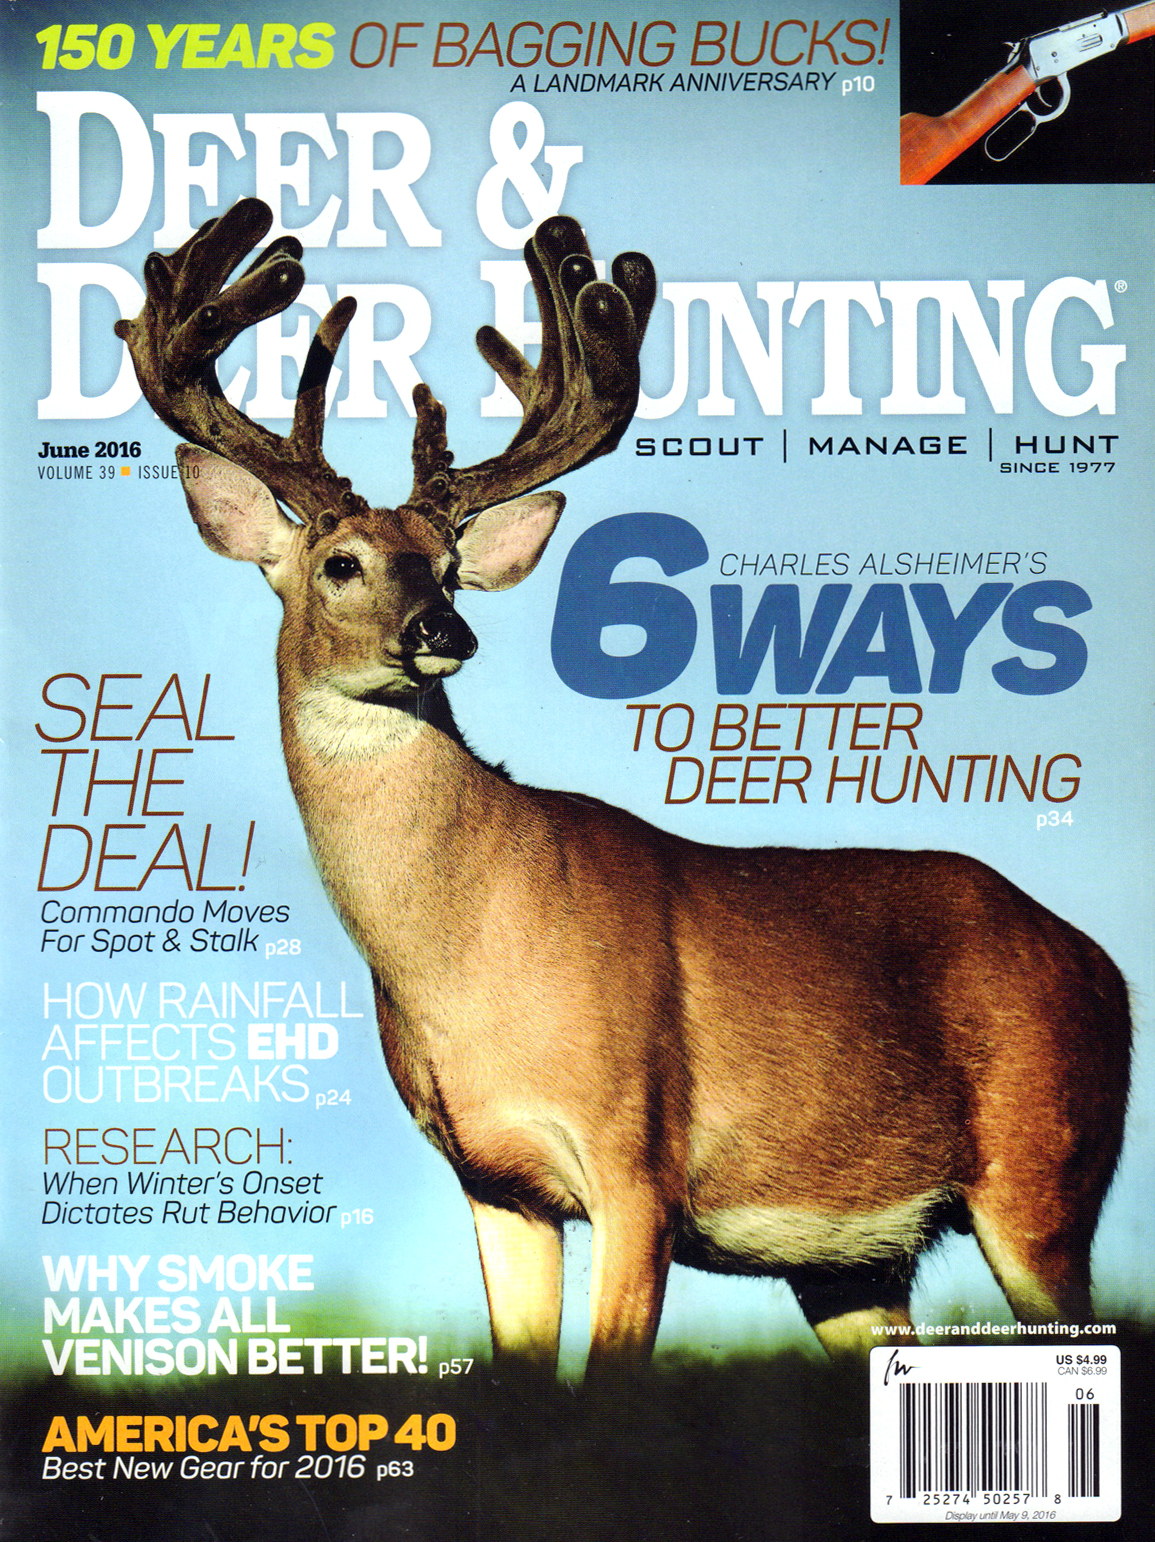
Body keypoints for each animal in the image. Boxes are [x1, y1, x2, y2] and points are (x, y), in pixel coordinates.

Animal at [115, 198, 1131, 1379]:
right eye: (342, 563)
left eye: (451, 568)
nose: (444, 631)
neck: (468, 958)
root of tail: (1104, 967)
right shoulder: (496, 1184)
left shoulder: (638, 1156)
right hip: (854, 1263)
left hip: (1043, 1173)